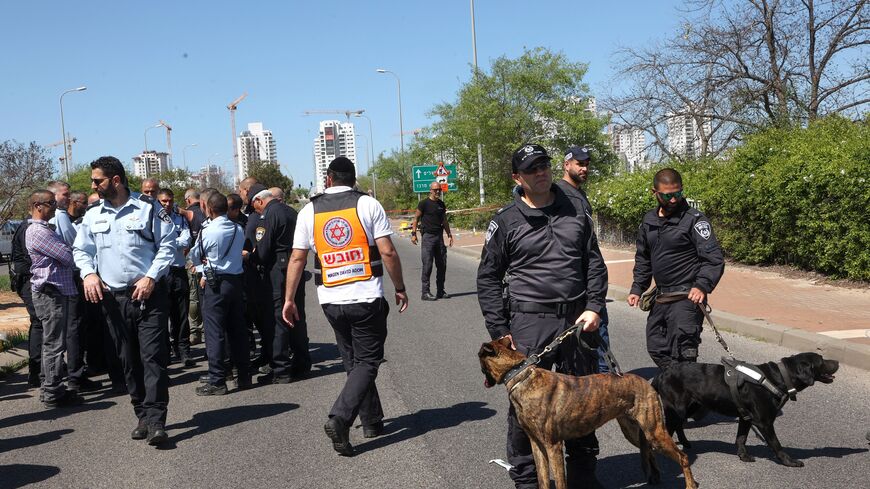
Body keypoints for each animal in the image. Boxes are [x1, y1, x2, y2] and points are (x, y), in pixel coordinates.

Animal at [480, 338, 700, 488]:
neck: (522, 376)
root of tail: (648, 383)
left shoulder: (553, 446)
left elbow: (560, 481)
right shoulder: (537, 445)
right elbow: (543, 479)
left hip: (655, 432)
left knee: (682, 457)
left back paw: (690, 483)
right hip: (634, 432)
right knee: (649, 452)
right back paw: (654, 477)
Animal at [652, 350, 840, 466]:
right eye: (822, 360)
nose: (837, 361)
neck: (779, 378)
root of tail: (662, 374)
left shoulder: (746, 417)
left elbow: (741, 438)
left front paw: (743, 456)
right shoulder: (764, 422)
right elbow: (776, 444)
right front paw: (789, 461)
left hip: (691, 406)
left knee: (679, 425)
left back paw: (684, 443)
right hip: (677, 409)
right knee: (669, 428)